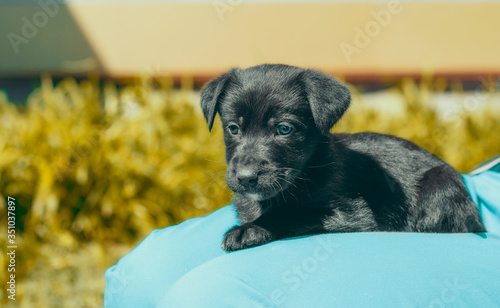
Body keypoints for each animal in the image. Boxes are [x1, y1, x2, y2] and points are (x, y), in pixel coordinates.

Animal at [199, 63, 484, 251]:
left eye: (284, 129)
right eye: (233, 128)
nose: (246, 178)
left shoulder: (353, 215)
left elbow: (293, 214)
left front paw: (250, 229)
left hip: (440, 186)